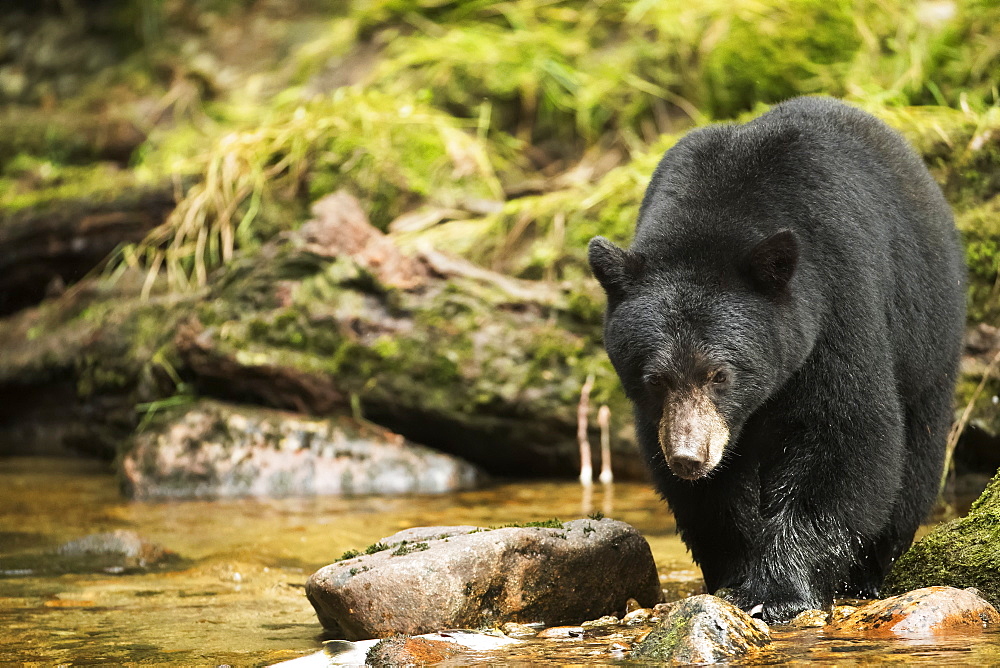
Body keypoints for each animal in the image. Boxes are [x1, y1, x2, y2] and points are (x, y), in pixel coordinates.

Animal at [588, 96, 964, 624]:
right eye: (655, 378)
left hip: (928, 333)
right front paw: (735, 573)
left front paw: (779, 589)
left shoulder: (834, 301)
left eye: (720, 374)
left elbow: (844, 434)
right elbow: (709, 495)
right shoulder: (666, 418)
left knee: (918, 454)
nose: (689, 457)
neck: (714, 219)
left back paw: (870, 571)